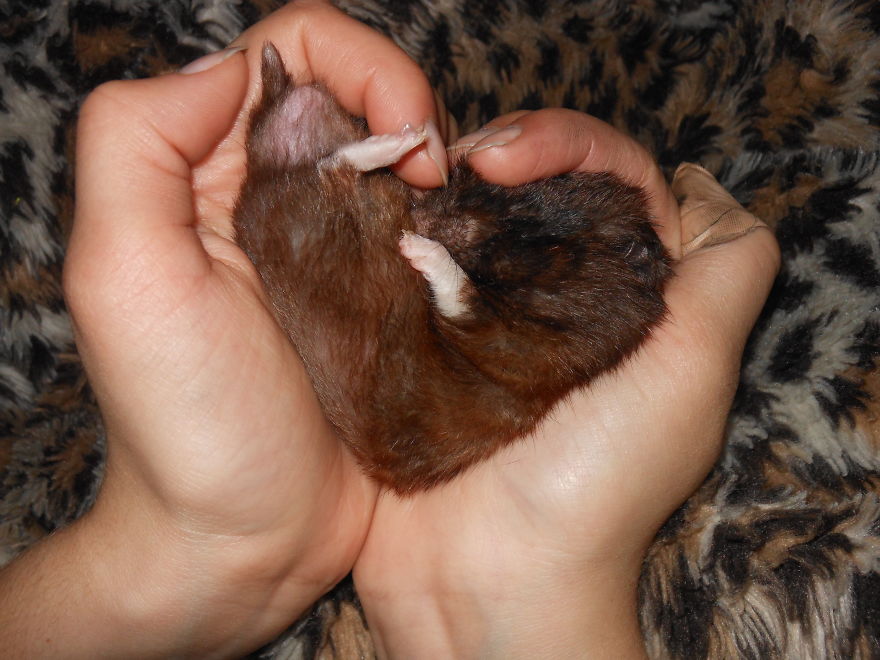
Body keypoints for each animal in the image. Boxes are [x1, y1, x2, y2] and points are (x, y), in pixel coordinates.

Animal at [233, 43, 671, 493]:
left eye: (531, 231)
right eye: (506, 190)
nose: (419, 218)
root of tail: (266, 167)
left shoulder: (517, 349)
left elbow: (462, 295)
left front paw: (415, 247)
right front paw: (417, 235)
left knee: (332, 168)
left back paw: (403, 144)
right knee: (333, 167)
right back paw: (410, 138)